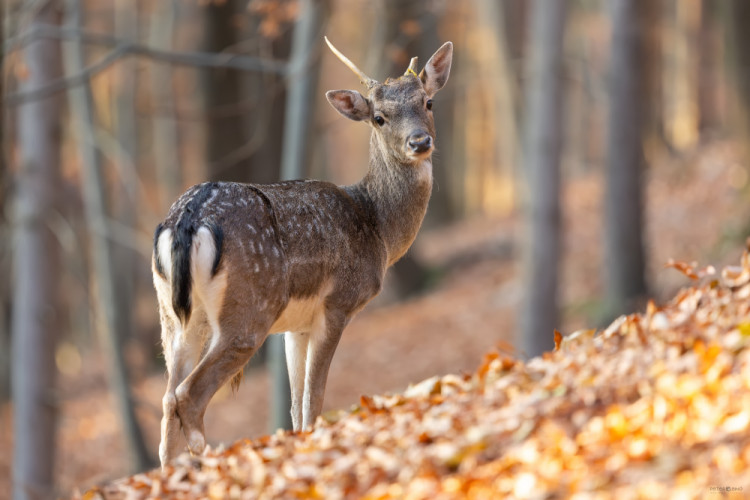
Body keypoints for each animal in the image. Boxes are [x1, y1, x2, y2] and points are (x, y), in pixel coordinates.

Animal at [153, 37, 452, 466]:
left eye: (428, 102)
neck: (378, 229)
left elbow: (296, 407)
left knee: (165, 404)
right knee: (187, 395)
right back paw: (203, 455)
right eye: (379, 117)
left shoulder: (295, 326)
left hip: (174, 319)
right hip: (250, 308)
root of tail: (188, 219)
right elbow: (314, 400)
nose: (420, 142)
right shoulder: (339, 302)